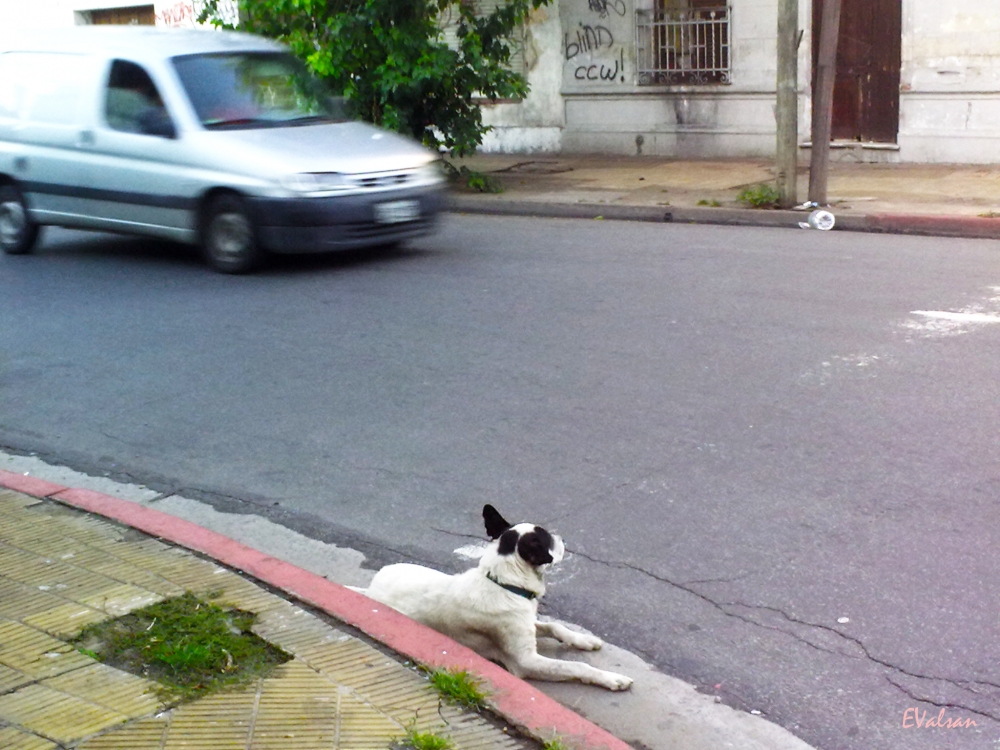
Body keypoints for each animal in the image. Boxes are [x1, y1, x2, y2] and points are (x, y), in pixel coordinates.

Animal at [356, 506, 628, 692]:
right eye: (548, 539)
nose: (563, 538)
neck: (505, 582)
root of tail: (370, 587)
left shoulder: (527, 622)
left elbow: (555, 625)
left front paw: (583, 640)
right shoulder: (525, 661)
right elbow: (574, 666)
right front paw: (612, 678)